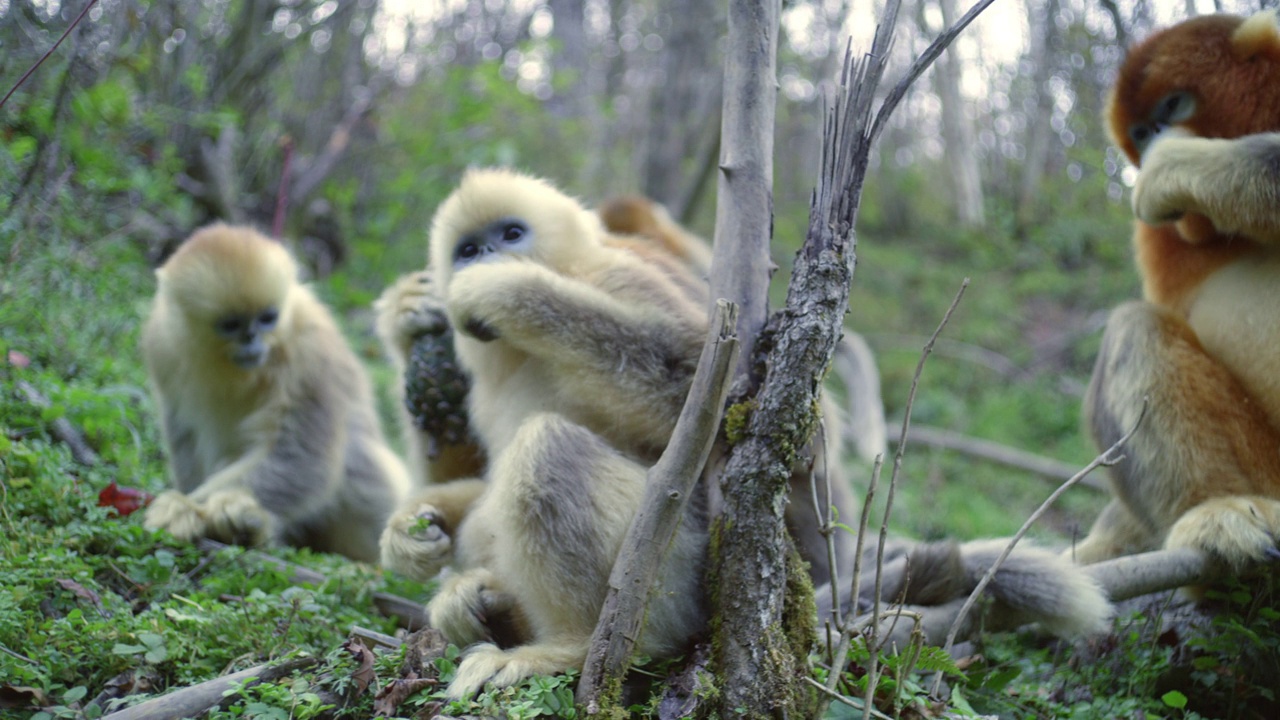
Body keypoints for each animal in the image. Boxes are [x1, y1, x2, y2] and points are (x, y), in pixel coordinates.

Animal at [141, 224, 409, 561]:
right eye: (231, 325)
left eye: (267, 318)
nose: (252, 339)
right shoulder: (161, 343)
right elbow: (183, 434)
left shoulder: (310, 350)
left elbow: (303, 457)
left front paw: (190, 507)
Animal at [376, 170, 1111, 691]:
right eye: (467, 247)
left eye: (510, 235)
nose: (480, 262)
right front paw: (411, 528)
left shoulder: (624, 274)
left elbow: (761, 418)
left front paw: (507, 291)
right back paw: (479, 601)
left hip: (670, 580)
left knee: (546, 449)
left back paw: (572, 649)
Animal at [1075, 11, 1280, 568]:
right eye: (1141, 133)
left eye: (1172, 105)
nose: (1153, 144)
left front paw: (1171, 166)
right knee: (1134, 330)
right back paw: (1219, 513)